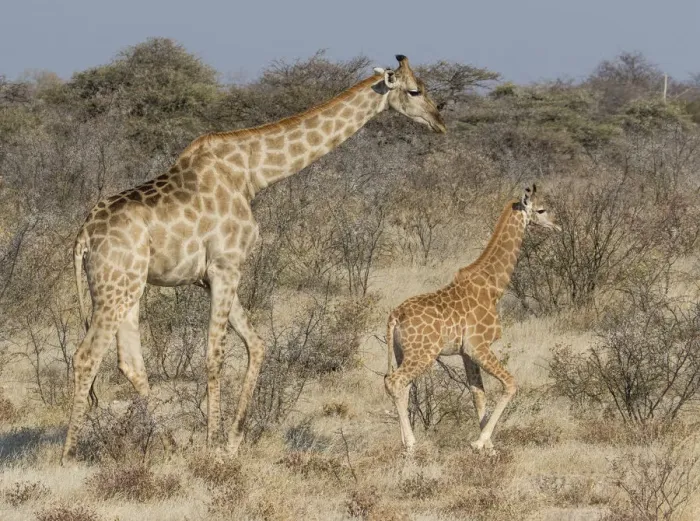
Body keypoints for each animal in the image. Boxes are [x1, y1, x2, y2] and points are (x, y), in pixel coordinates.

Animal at [62, 55, 446, 464]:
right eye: (415, 91)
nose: (439, 121)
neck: (251, 173)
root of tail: (83, 236)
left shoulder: (211, 276)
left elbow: (257, 344)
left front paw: (232, 440)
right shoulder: (226, 266)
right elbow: (215, 355)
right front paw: (213, 444)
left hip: (128, 287)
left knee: (130, 362)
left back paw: (166, 444)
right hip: (114, 287)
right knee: (86, 356)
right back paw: (69, 454)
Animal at [384, 185, 560, 453]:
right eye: (541, 209)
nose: (558, 226)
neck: (493, 287)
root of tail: (395, 316)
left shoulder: (466, 352)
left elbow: (478, 394)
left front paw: (489, 447)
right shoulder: (478, 345)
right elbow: (510, 383)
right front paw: (480, 441)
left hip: (401, 353)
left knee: (402, 386)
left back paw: (405, 441)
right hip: (423, 353)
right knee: (394, 382)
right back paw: (412, 444)